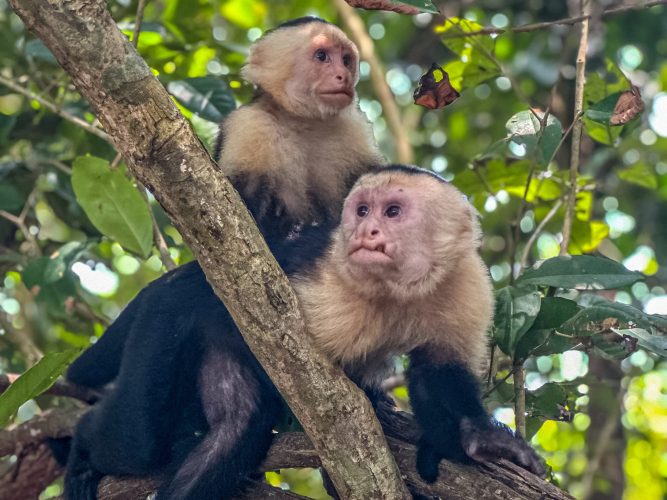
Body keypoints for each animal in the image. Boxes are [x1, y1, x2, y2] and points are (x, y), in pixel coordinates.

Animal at [63, 166, 544, 500]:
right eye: (362, 210)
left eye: (393, 212)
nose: (365, 230)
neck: (401, 288)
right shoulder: (330, 283)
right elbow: (302, 374)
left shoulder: (467, 282)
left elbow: (438, 372)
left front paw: (479, 440)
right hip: (160, 322)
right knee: (141, 436)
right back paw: (83, 453)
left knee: (236, 428)